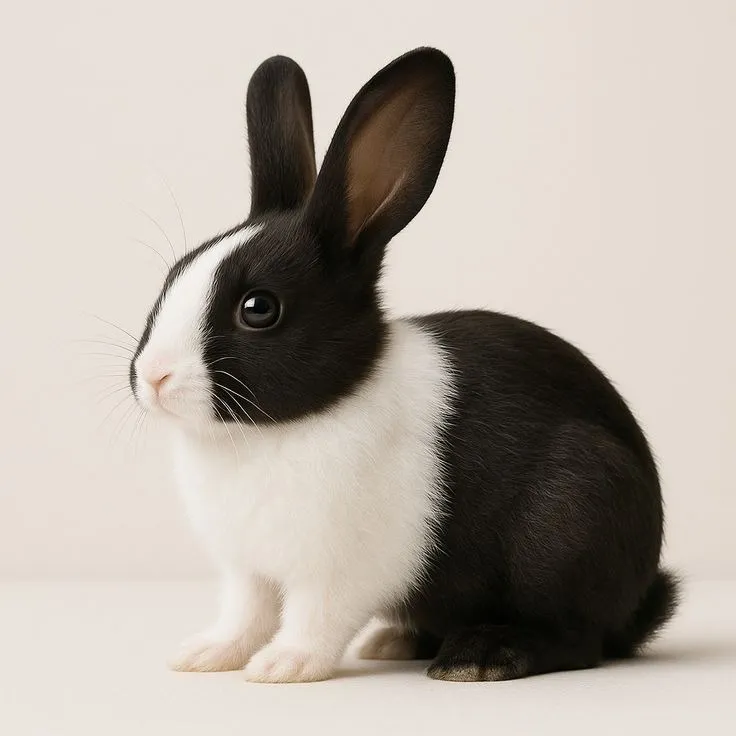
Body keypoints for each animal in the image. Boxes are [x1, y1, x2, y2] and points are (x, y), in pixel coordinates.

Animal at [129, 47, 678, 683]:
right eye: (174, 275)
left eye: (258, 308)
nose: (153, 377)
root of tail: (639, 597)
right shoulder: (249, 571)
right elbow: (245, 613)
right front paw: (206, 655)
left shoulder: (337, 571)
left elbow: (314, 618)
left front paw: (284, 666)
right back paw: (396, 641)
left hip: (572, 519)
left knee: (576, 638)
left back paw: (479, 657)